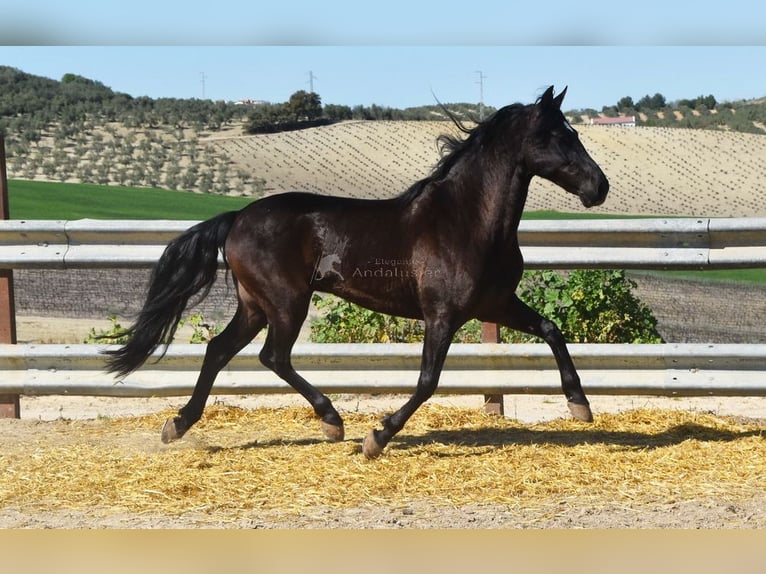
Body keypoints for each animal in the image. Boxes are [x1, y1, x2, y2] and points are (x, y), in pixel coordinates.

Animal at [106, 86, 612, 460]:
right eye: (558, 135)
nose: (600, 187)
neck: (467, 221)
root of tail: (237, 218)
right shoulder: (443, 315)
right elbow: (427, 381)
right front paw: (377, 438)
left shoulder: (497, 304)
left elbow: (552, 329)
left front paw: (580, 405)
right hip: (286, 303)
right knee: (273, 356)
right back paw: (332, 422)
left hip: (255, 306)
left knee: (218, 350)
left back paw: (178, 424)